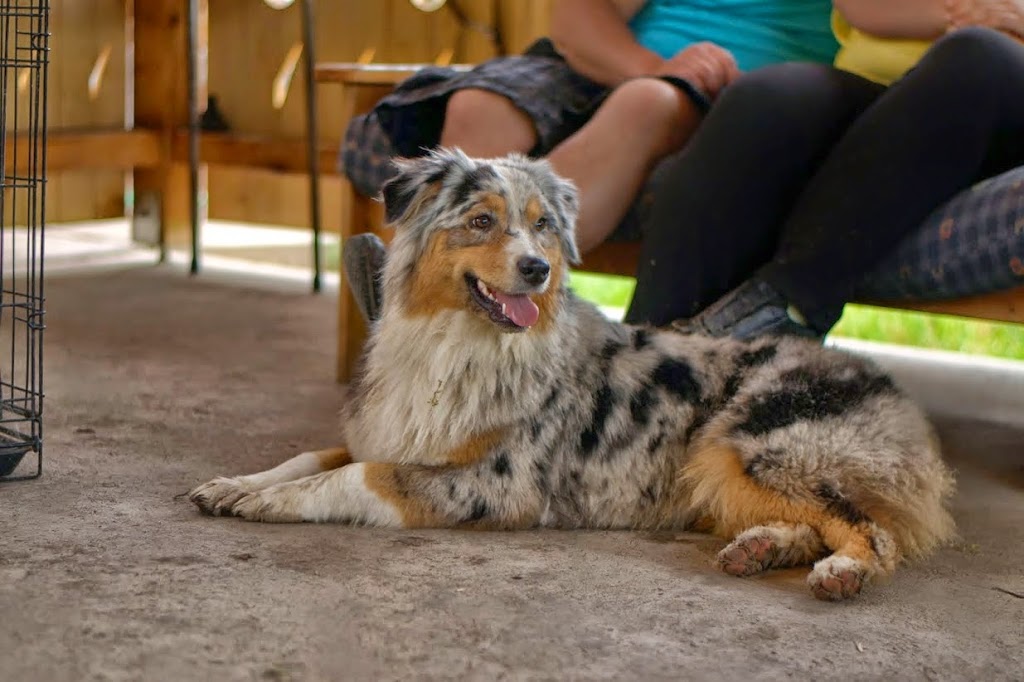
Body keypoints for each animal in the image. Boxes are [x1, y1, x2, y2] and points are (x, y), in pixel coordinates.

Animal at [190, 148, 956, 601]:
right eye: (482, 221)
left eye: (542, 227)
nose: (536, 269)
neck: (456, 343)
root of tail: (889, 387)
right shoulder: (395, 428)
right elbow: (314, 455)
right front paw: (238, 483)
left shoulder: (498, 485)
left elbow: (357, 475)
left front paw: (268, 501)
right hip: (722, 470)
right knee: (814, 522)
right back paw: (760, 548)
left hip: (753, 445)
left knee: (871, 530)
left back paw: (841, 572)